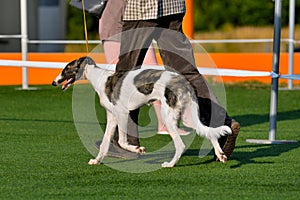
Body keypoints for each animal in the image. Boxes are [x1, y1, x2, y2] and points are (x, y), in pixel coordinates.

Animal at [52, 56, 232, 167]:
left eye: (66, 69)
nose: (54, 82)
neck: (101, 79)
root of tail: (185, 83)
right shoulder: (112, 117)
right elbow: (104, 143)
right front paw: (97, 161)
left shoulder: (122, 114)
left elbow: (122, 141)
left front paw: (139, 149)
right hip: (188, 116)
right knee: (209, 133)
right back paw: (221, 155)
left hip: (169, 117)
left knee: (180, 144)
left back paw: (170, 164)